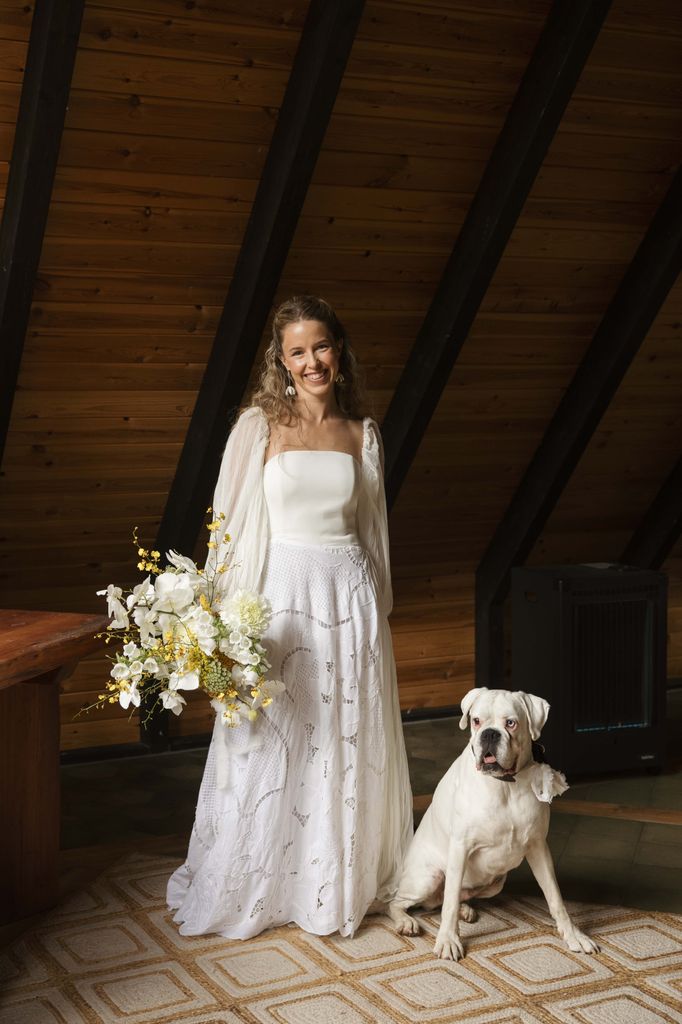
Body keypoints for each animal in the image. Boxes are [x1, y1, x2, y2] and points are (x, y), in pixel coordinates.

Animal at [385, 688, 598, 958]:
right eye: (476, 721)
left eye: (511, 723)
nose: (489, 734)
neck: (506, 785)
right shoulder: (460, 847)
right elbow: (449, 903)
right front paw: (448, 940)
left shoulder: (538, 847)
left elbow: (555, 897)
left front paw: (573, 935)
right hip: (428, 876)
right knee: (398, 903)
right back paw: (406, 921)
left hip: (496, 883)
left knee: (440, 901)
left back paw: (465, 910)